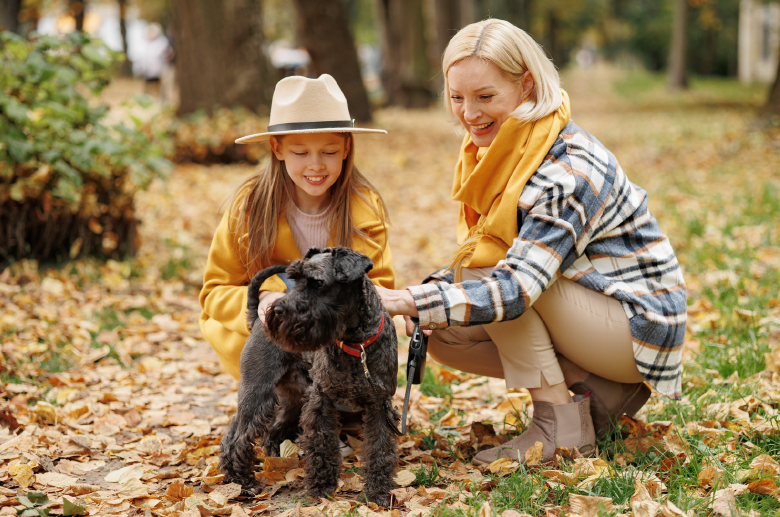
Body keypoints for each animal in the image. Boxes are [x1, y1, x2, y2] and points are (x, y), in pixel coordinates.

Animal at [219, 246, 402, 504]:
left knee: (269, 431)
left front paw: (378, 493)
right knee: (236, 440)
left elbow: (380, 449)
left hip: (293, 397)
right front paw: (321, 487)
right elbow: (322, 444)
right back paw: (243, 484)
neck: (355, 343)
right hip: (257, 393)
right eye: (295, 279)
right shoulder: (321, 400)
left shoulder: (380, 405)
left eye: (318, 282)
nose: (277, 310)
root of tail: (257, 320)